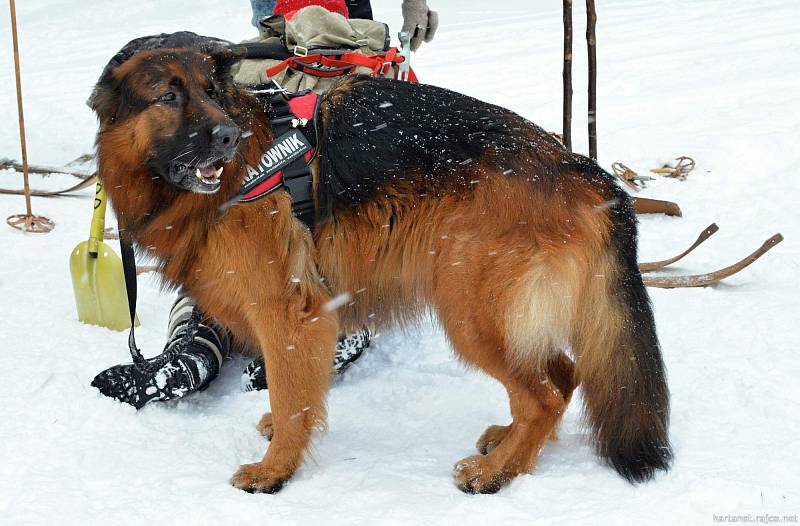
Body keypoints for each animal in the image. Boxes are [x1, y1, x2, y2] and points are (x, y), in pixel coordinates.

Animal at [90, 45, 672, 496]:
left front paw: (277, 470)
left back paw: (497, 472)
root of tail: (583, 169)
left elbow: (289, 395)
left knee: (545, 395)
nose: (229, 136)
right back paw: (512, 449)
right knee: (562, 377)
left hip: (469, 314)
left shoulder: (290, 316)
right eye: (168, 96)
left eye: (213, 91)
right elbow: (291, 392)